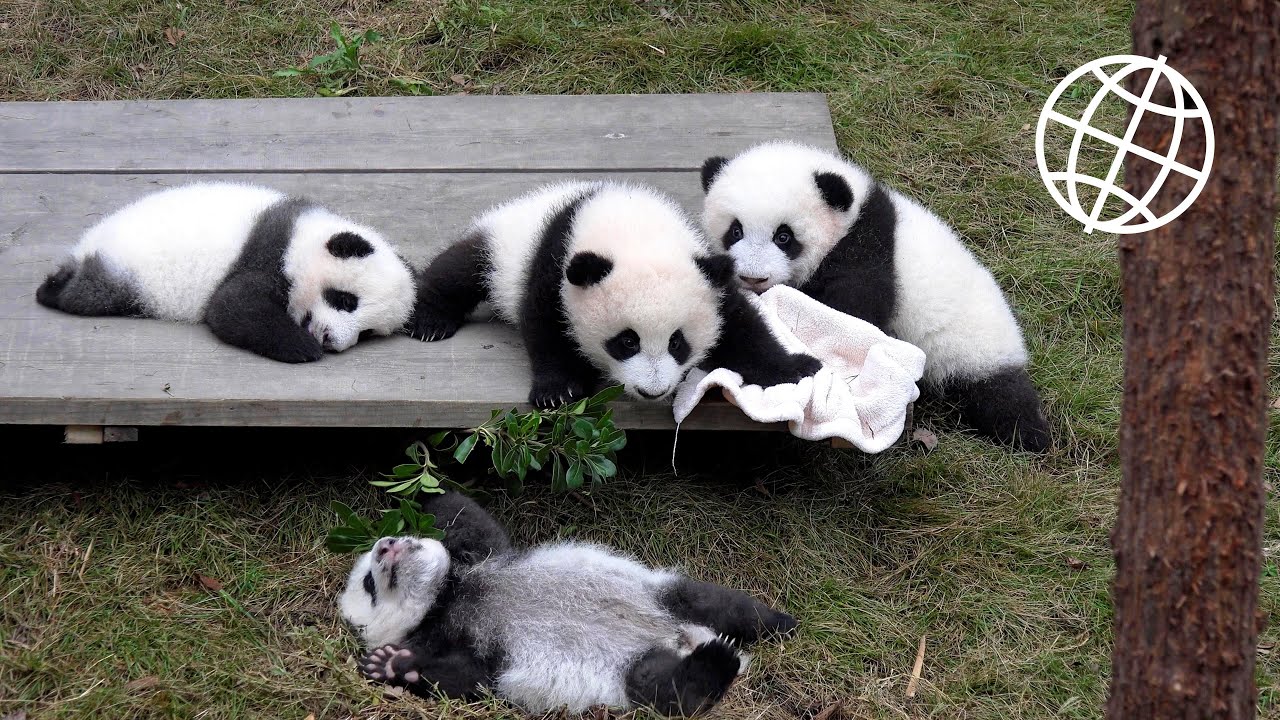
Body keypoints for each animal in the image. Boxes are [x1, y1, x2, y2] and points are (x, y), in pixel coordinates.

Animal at [35, 182, 416, 363]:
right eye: (345, 300)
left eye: (367, 333)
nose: (331, 340)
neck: (304, 236)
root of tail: (87, 242)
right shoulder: (267, 254)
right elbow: (232, 309)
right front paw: (302, 346)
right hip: (124, 270)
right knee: (91, 292)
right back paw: (52, 289)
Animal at [339, 492, 797, 716]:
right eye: (369, 585)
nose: (386, 546)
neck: (447, 598)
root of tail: (682, 638)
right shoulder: (472, 648)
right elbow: (469, 678)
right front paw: (390, 665)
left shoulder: (484, 558)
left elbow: (466, 517)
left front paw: (420, 490)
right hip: (628, 672)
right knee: (665, 689)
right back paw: (718, 660)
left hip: (661, 592)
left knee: (717, 603)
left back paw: (780, 623)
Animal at [410, 180, 820, 408]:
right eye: (626, 341)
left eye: (677, 343)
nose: (653, 391)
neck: (633, 229)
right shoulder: (555, 262)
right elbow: (546, 324)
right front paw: (557, 390)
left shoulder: (708, 274)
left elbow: (742, 327)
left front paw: (798, 368)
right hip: (502, 246)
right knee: (461, 268)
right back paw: (430, 321)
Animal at [699, 141, 1050, 452]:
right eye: (735, 231)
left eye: (784, 237)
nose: (753, 277)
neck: (854, 215)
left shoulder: (866, 250)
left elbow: (853, 311)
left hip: (975, 347)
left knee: (1001, 396)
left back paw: (1030, 435)